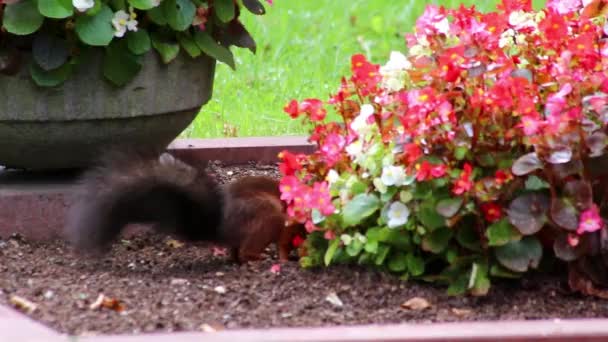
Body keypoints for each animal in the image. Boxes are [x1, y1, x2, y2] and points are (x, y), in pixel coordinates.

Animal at [63, 148, 304, 264]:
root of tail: (220, 227)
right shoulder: (290, 223)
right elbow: (284, 243)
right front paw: (286, 260)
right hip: (267, 216)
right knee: (245, 253)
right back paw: (259, 260)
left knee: (235, 254)